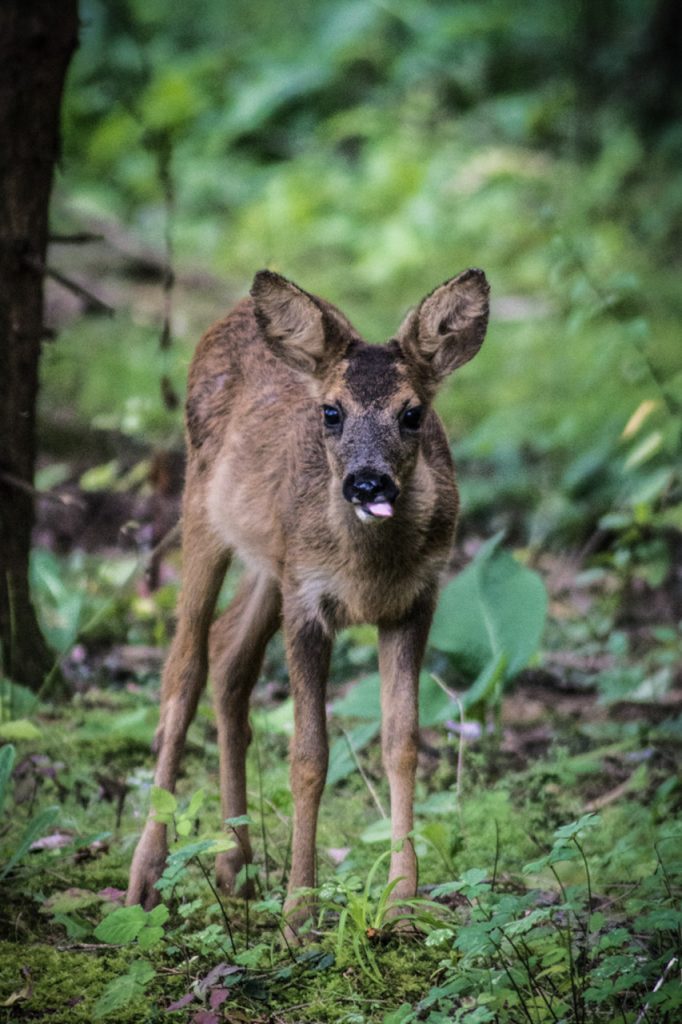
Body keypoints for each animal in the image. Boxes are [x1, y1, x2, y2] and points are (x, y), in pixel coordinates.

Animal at [125, 266, 489, 937]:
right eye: (331, 411)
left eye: (413, 413)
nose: (367, 482)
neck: (369, 572)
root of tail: (231, 317)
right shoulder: (309, 604)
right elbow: (308, 758)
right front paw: (298, 915)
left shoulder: (416, 601)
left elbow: (402, 743)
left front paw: (402, 906)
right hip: (202, 509)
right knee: (183, 667)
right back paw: (145, 877)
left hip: (273, 564)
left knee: (229, 656)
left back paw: (237, 865)